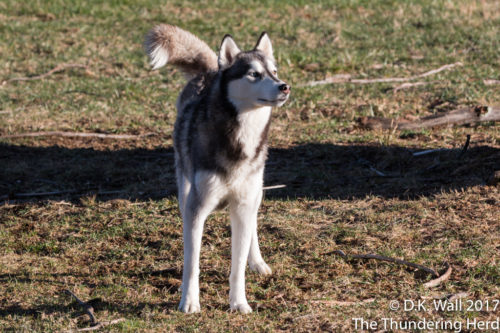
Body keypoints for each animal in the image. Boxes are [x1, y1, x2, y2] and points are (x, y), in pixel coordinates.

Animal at [145, 24, 292, 312]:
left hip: (256, 193)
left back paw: (257, 261)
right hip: (185, 188)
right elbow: (192, 263)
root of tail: (212, 71)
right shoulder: (197, 208)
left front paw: (238, 303)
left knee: (253, 226)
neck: (240, 137)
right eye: (254, 74)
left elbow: (237, 266)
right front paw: (189, 302)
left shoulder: (243, 205)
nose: (285, 87)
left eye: (274, 71)